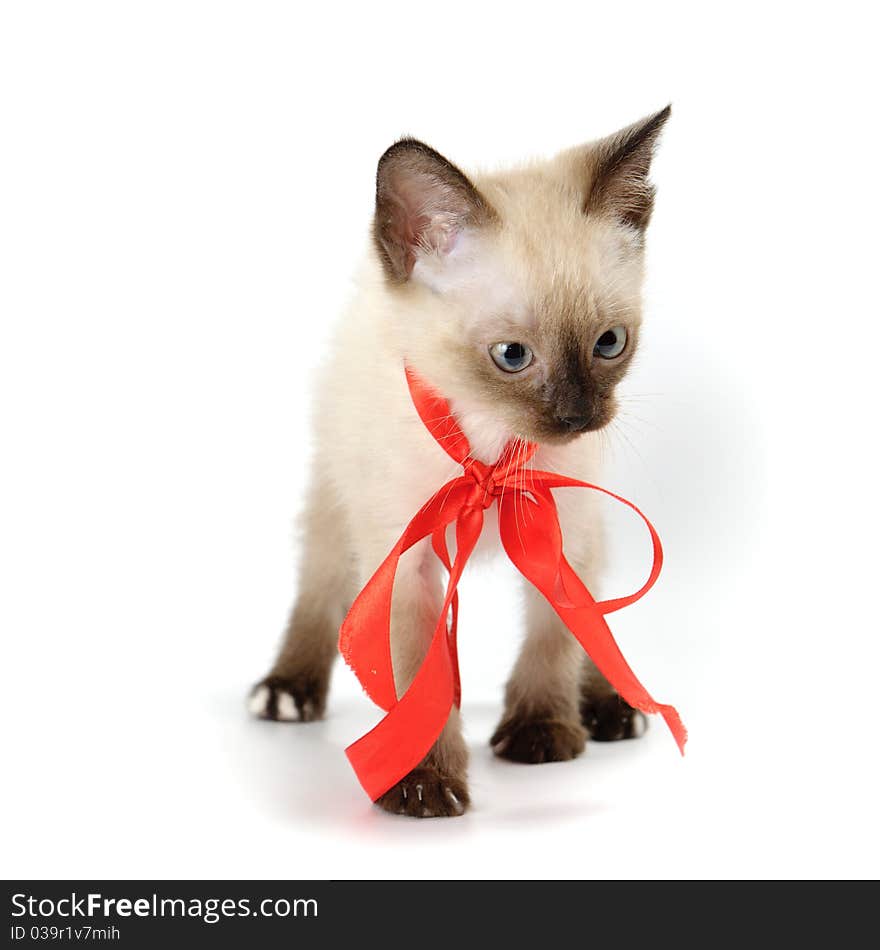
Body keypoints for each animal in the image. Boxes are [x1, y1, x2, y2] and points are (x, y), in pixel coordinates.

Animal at [251, 106, 672, 820]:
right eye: (512, 356)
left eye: (609, 344)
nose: (578, 416)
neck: (490, 453)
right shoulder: (407, 560)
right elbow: (414, 669)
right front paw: (421, 782)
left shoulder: (564, 535)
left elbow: (557, 638)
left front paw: (541, 732)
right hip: (337, 507)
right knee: (319, 587)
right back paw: (287, 690)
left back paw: (609, 708)